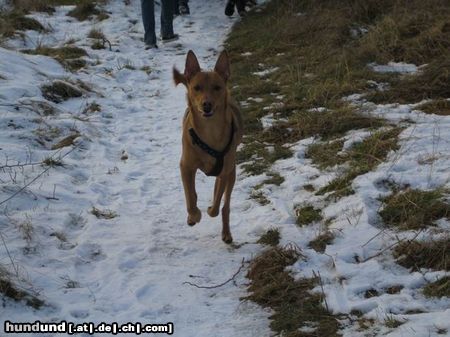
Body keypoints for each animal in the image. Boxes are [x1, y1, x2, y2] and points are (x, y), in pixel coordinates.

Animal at [173, 50, 243, 243]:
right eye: (196, 87)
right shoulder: (186, 166)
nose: (207, 104)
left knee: (225, 205)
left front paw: (210, 210)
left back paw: (226, 232)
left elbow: (217, 200)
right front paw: (194, 216)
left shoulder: (224, 171)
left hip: (232, 172)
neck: (209, 130)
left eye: (217, 87)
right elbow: (190, 197)